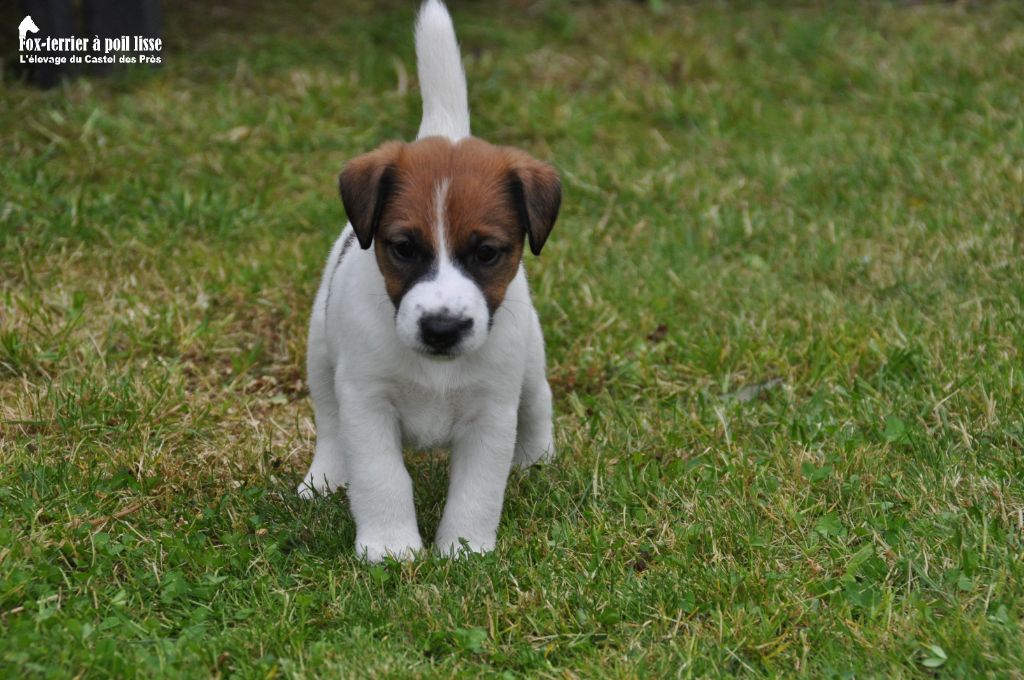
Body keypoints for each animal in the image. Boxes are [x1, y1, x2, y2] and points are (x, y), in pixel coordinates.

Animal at [299, 0, 561, 561]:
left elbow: (477, 490)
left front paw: (464, 551)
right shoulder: (368, 402)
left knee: (539, 402)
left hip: (528, 363)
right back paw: (325, 477)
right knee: (329, 423)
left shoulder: (491, 412)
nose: (442, 329)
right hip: (321, 356)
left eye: (486, 253)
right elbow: (382, 477)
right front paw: (390, 547)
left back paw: (535, 462)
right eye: (403, 248)